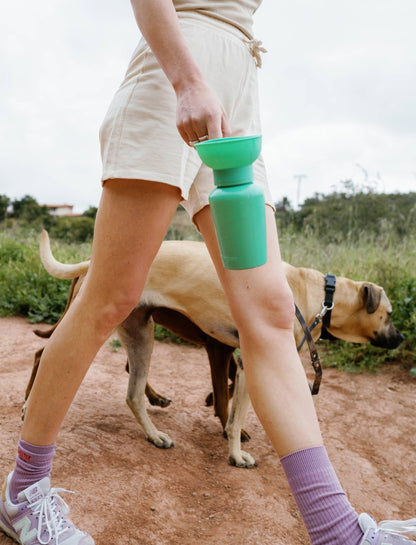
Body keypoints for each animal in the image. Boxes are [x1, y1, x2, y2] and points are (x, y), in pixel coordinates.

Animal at [26, 232, 404, 466]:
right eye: (388, 314)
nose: (401, 338)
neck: (315, 293)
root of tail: (92, 262)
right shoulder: (246, 363)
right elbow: (235, 416)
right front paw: (236, 454)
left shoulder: (238, 361)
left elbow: (231, 405)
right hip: (99, 323)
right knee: (46, 355)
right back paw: (31, 406)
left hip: (141, 335)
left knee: (132, 394)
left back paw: (154, 435)